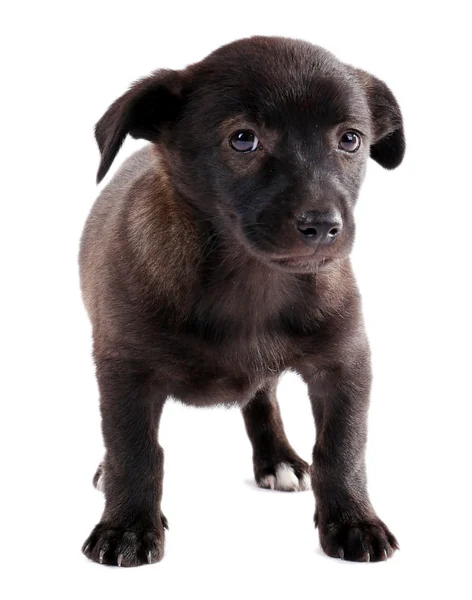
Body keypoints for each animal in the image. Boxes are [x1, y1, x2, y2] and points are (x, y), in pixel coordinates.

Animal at [79, 35, 404, 564]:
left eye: (351, 139)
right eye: (243, 139)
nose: (322, 226)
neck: (251, 278)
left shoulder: (344, 363)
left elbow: (342, 447)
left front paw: (354, 521)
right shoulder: (125, 369)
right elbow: (135, 450)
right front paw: (126, 528)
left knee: (263, 397)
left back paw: (278, 458)